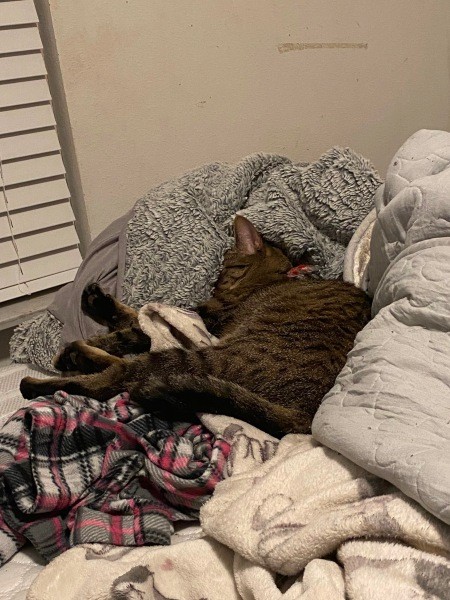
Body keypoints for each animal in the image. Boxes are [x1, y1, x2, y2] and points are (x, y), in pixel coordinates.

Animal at [20, 216, 372, 436]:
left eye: (222, 273)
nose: (213, 288)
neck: (275, 278)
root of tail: (305, 418)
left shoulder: (205, 318)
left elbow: (129, 329)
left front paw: (87, 338)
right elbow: (131, 318)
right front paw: (98, 304)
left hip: (195, 358)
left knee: (113, 376)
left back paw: (52, 372)